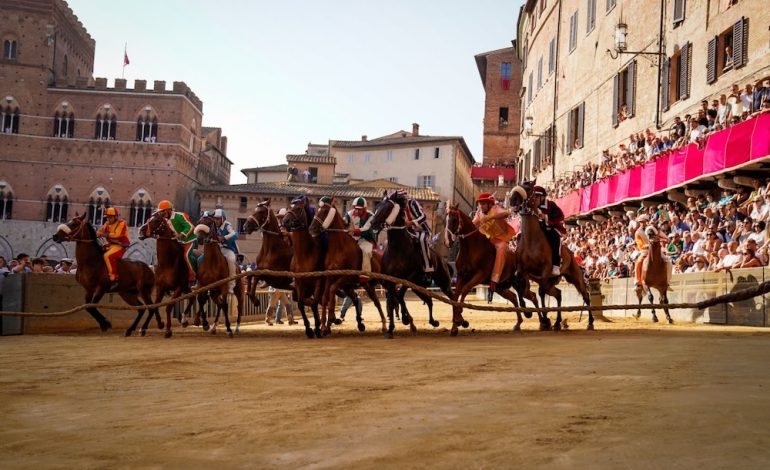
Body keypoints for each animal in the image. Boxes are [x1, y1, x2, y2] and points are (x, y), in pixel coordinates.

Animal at [280, 202, 322, 338]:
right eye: (288, 207)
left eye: (298, 208)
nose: (285, 221)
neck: (304, 255)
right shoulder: (299, 283)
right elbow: (301, 303)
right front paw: (309, 329)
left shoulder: (318, 282)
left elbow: (314, 303)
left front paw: (317, 328)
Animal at [308, 200, 388, 336]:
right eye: (318, 209)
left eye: (325, 210)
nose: (312, 228)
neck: (339, 248)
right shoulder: (330, 276)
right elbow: (325, 297)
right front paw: (324, 326)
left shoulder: (346, 277)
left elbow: (332, 290)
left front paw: (330, 318)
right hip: (365, 285)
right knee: (369, 301)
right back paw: (364, 323)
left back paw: (387, 324)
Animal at [368, 191, 452, 338]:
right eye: (377, 206)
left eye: (387, 208)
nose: (373, 223)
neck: (398, 248)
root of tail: (440, 258)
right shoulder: (391, 281)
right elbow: (392, 302)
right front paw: (390, 329)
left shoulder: (409, 278)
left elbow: (399, 297)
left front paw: (405, 319)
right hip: (418, 286)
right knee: (429, 300)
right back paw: (433, 321)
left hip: (443, 282)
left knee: (453, 297)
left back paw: (461, 321)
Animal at [444, 206, 536, 334]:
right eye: (446, 220)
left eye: (453, 219)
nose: (448, 241)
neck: (472, 247)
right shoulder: (461, 276)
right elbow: (455, 297)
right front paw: (455, 325)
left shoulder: (480, 275)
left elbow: (465, 290)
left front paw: (460, 319)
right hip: (501, 287)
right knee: (514, 297)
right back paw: (518, 324)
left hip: (521, 286)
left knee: (533, 296)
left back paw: (544, 322)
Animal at [508, 183, 592, 330]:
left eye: (528, 188)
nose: (513, 200)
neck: (531, 239)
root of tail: (571, 253)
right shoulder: (522, 270)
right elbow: (519, 286)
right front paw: (527, 311)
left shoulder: (545, 269)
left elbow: (541, 293)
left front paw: (545, 320)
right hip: (549, 281)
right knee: (558, 293)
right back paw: (557, 322)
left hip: (574, 276)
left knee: (585, 295)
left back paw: (590, 322)